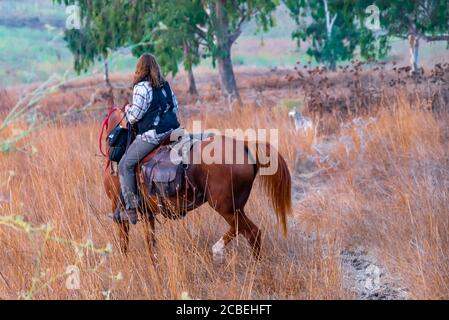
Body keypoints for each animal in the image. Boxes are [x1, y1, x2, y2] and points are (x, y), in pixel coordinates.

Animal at [100, 106, 292, 262]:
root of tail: (244, 146)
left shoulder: (119, 209)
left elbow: (124, 242)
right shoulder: (148, 213)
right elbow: (151, 244)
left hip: (225, 207)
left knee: (251, 232)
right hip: (236, 207)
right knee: (244, 230)